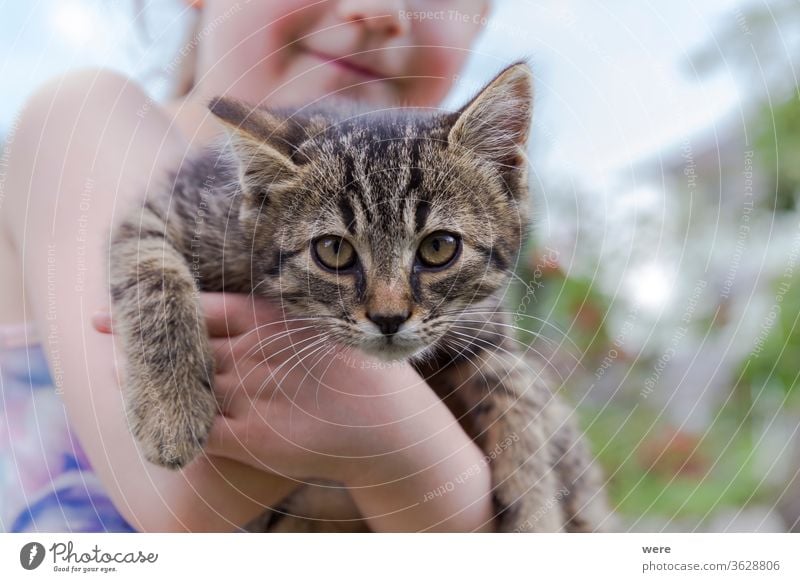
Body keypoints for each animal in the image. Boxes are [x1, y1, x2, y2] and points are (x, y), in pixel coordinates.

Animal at [104, 64, 608, 532]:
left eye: (439, 247)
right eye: (333, 250)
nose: (389, 317)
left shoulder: (486, 327)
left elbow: (520, 394)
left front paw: (537, 516)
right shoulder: (167, 214)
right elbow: (153, 273)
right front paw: (170, 413)